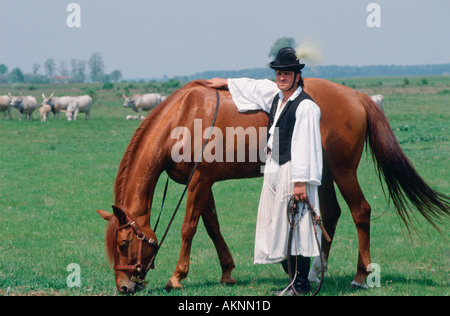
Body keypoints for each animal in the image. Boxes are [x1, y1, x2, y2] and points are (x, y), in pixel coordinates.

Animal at [96, 78, 448, 294]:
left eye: (124, 244)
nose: (124, 286)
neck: (183, 117)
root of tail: (358, 96)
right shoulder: (204, 183)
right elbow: (212, 227)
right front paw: (227, 272)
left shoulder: (199, 181)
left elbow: (189, 228)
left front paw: (176, 277)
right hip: (323, 174)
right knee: (330, 214)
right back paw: (315, 272)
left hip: (343, 171)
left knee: (360, 211)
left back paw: (360, 276)